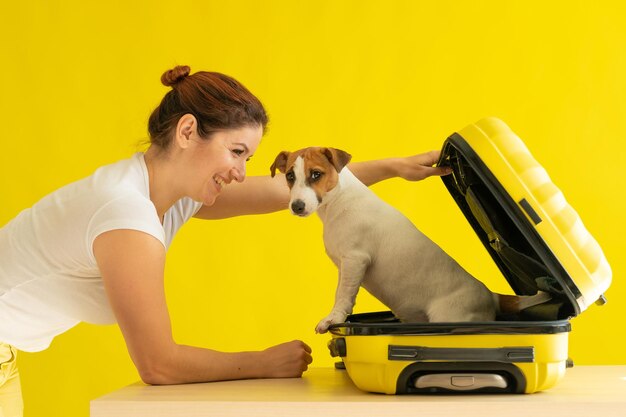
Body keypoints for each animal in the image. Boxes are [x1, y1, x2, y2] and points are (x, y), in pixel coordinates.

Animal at [268, 148, 544, 334]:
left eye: (316, 174)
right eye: (290, 176)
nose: (297, 206)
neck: (338, 200)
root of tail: (491, 296)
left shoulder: (355, 260)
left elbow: (343, 294)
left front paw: (333, 318)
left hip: (450, 317)